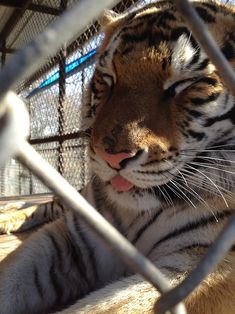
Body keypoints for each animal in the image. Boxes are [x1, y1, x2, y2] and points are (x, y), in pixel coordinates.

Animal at [0, 0, 235, 312]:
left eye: (184, 84)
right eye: (108, 79)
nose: (112, 157)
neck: (133, 212)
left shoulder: (205, 264)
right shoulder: (77, 236)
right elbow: (12, 275)